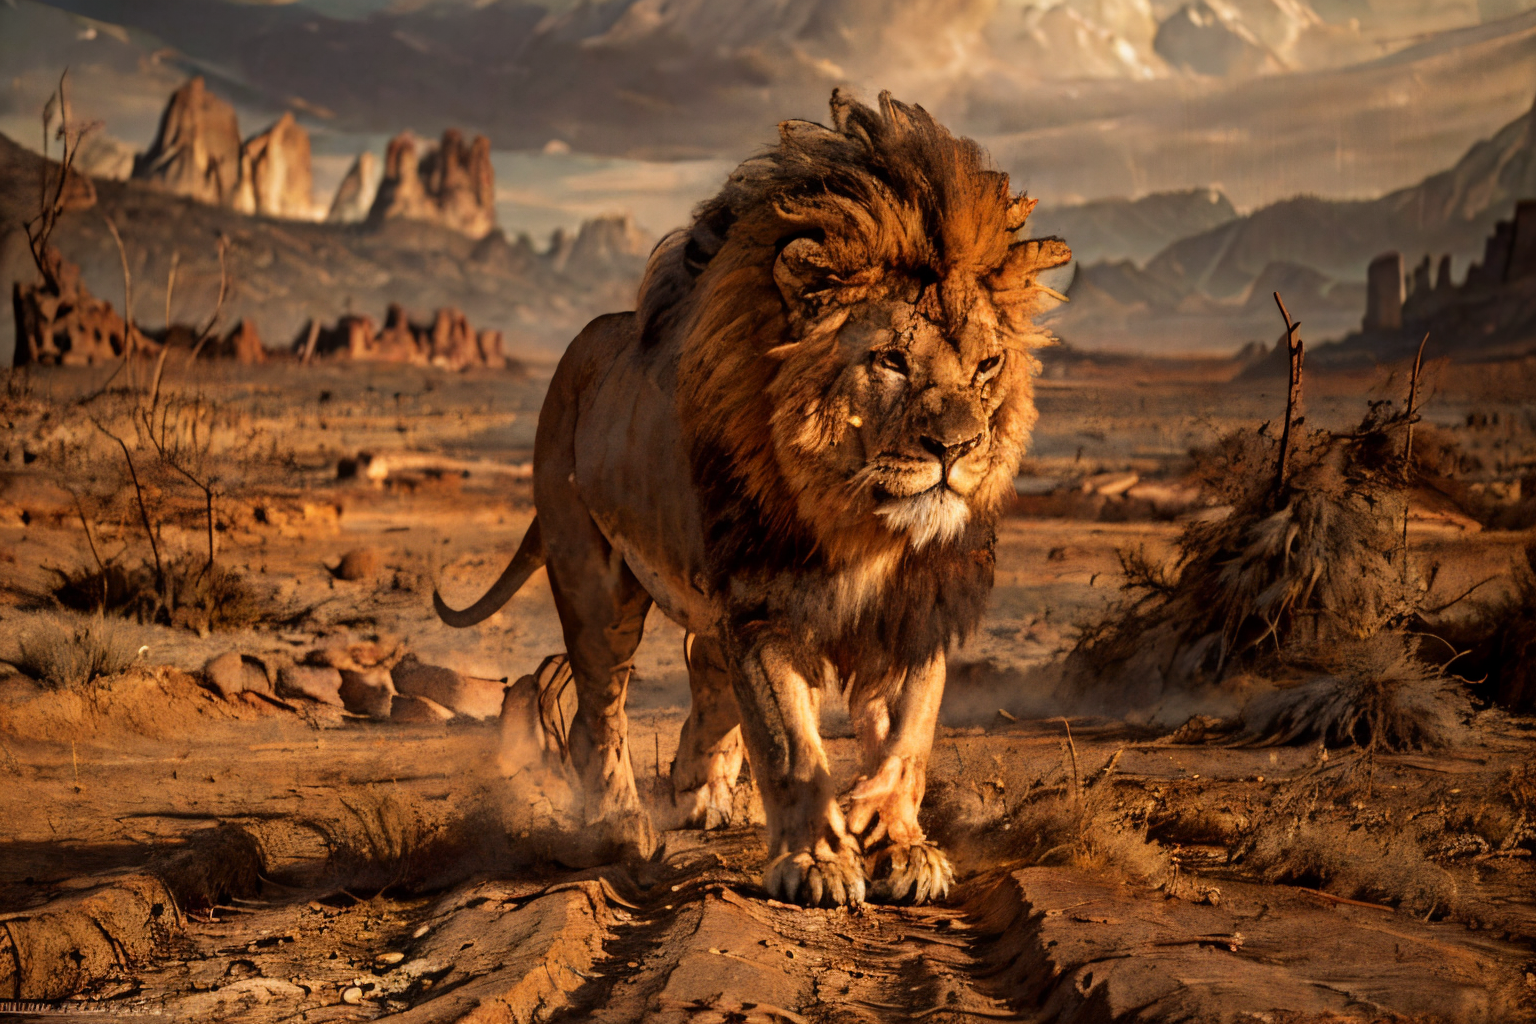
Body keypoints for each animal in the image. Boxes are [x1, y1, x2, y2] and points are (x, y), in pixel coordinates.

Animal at [435, 91, 1070, 907]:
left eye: (987, 366)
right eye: (892, 361)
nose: (954, 449)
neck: (865, 526)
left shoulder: (915, 608)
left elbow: (910, 735)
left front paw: (894, 838)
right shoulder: (764, 603)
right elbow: (789, 742)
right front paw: (817, 860)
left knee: (702, 665)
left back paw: (700, 787)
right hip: (594, 577)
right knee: (600, 710)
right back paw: (621, 826)